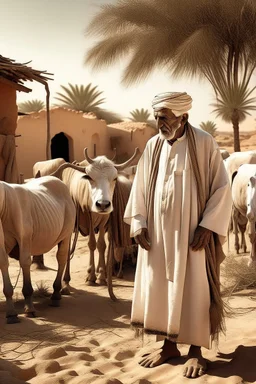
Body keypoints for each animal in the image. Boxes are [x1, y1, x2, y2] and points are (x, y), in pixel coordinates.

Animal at [0, 177, 75, 324]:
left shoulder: (25, 236)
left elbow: (25, 262)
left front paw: (29, 309)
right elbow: (3, 263)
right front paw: (11, 315)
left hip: (69, 218)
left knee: (62, 254)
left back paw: (56, 297)